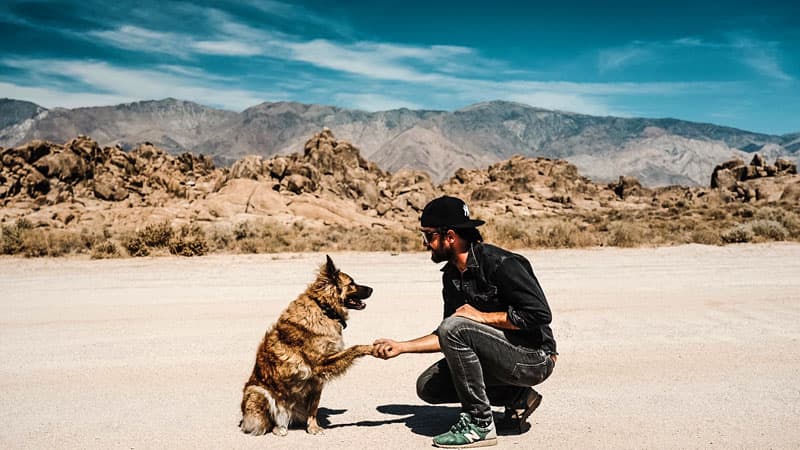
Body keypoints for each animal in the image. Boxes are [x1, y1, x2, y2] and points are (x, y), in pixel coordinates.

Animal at [239, 256, 374, 436]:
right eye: (351, 283)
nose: (372, 289)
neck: (324, 309)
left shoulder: (317, 381)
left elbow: (313, 408)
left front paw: (313, 427)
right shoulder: (320, 364)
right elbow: (355, 348)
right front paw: (371, 348)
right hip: (257, 391)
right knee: (268, 422)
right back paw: (278, 428)